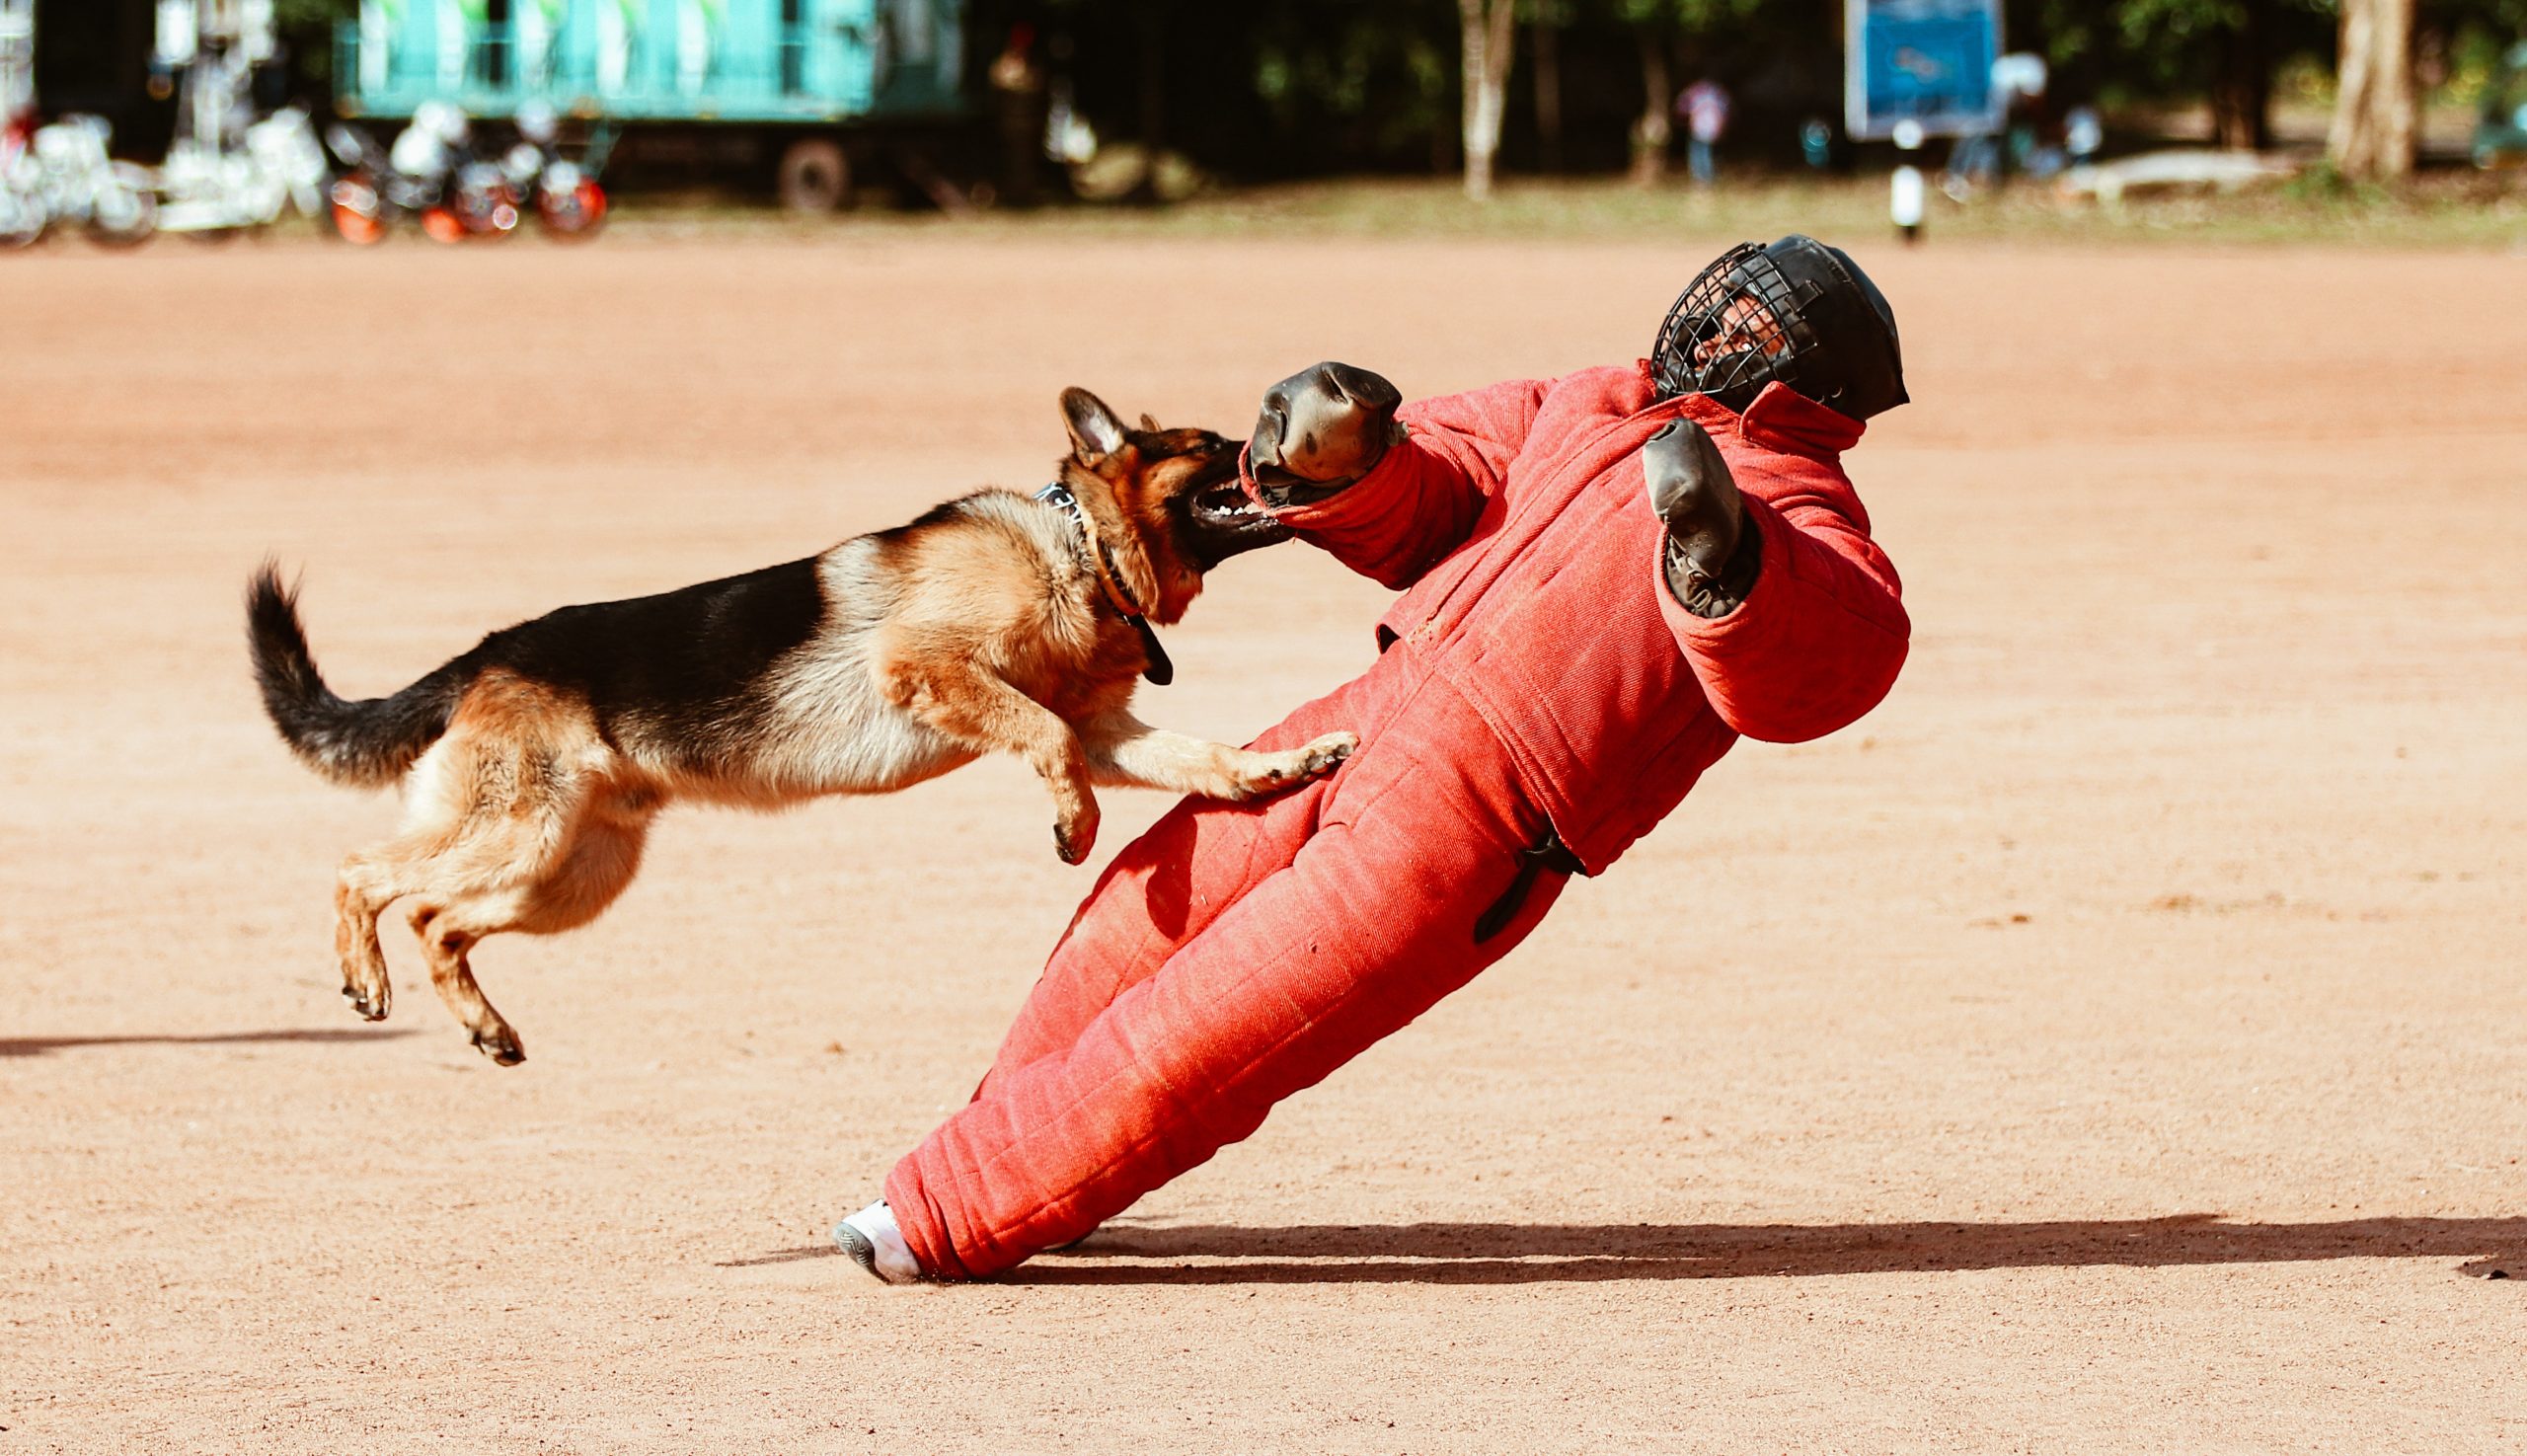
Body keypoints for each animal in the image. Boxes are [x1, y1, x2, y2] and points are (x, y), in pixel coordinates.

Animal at [251, 389, 1364, 1071]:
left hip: (572, 873)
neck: (1075, 547)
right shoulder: (934, 670)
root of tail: (485, 653)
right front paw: (1075, 829)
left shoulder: (1106, 729)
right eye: (1209, 448)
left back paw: (487, 1028)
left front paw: (1283, 766)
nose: (1275, 454)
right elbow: (1043, 739)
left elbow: (1199, 757)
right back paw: (363, 975)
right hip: (516, 834)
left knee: (441, 923)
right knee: (363, 873)